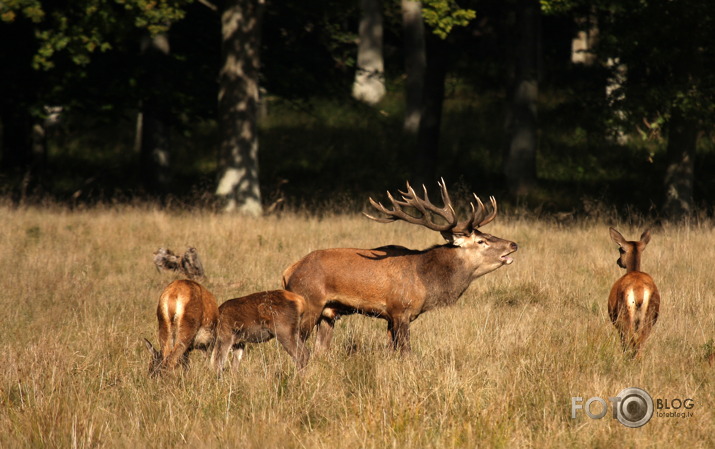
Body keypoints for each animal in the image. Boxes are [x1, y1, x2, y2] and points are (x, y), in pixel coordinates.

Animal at [284, 180, 520, 352]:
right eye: (481, 241)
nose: (513, 244)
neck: (427, 282)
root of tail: (288, 272)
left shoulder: (391, 316)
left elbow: (391, 351)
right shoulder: (400, 310)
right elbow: (406, 351)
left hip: (328, 313)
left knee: (320, 350)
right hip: (309, 302)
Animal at [608, 228, 664, 356]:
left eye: (620, 250)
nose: (618, 261)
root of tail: (639, 291)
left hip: (624, 314)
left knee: (631, 341)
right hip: (650, 314)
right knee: (640, 341)